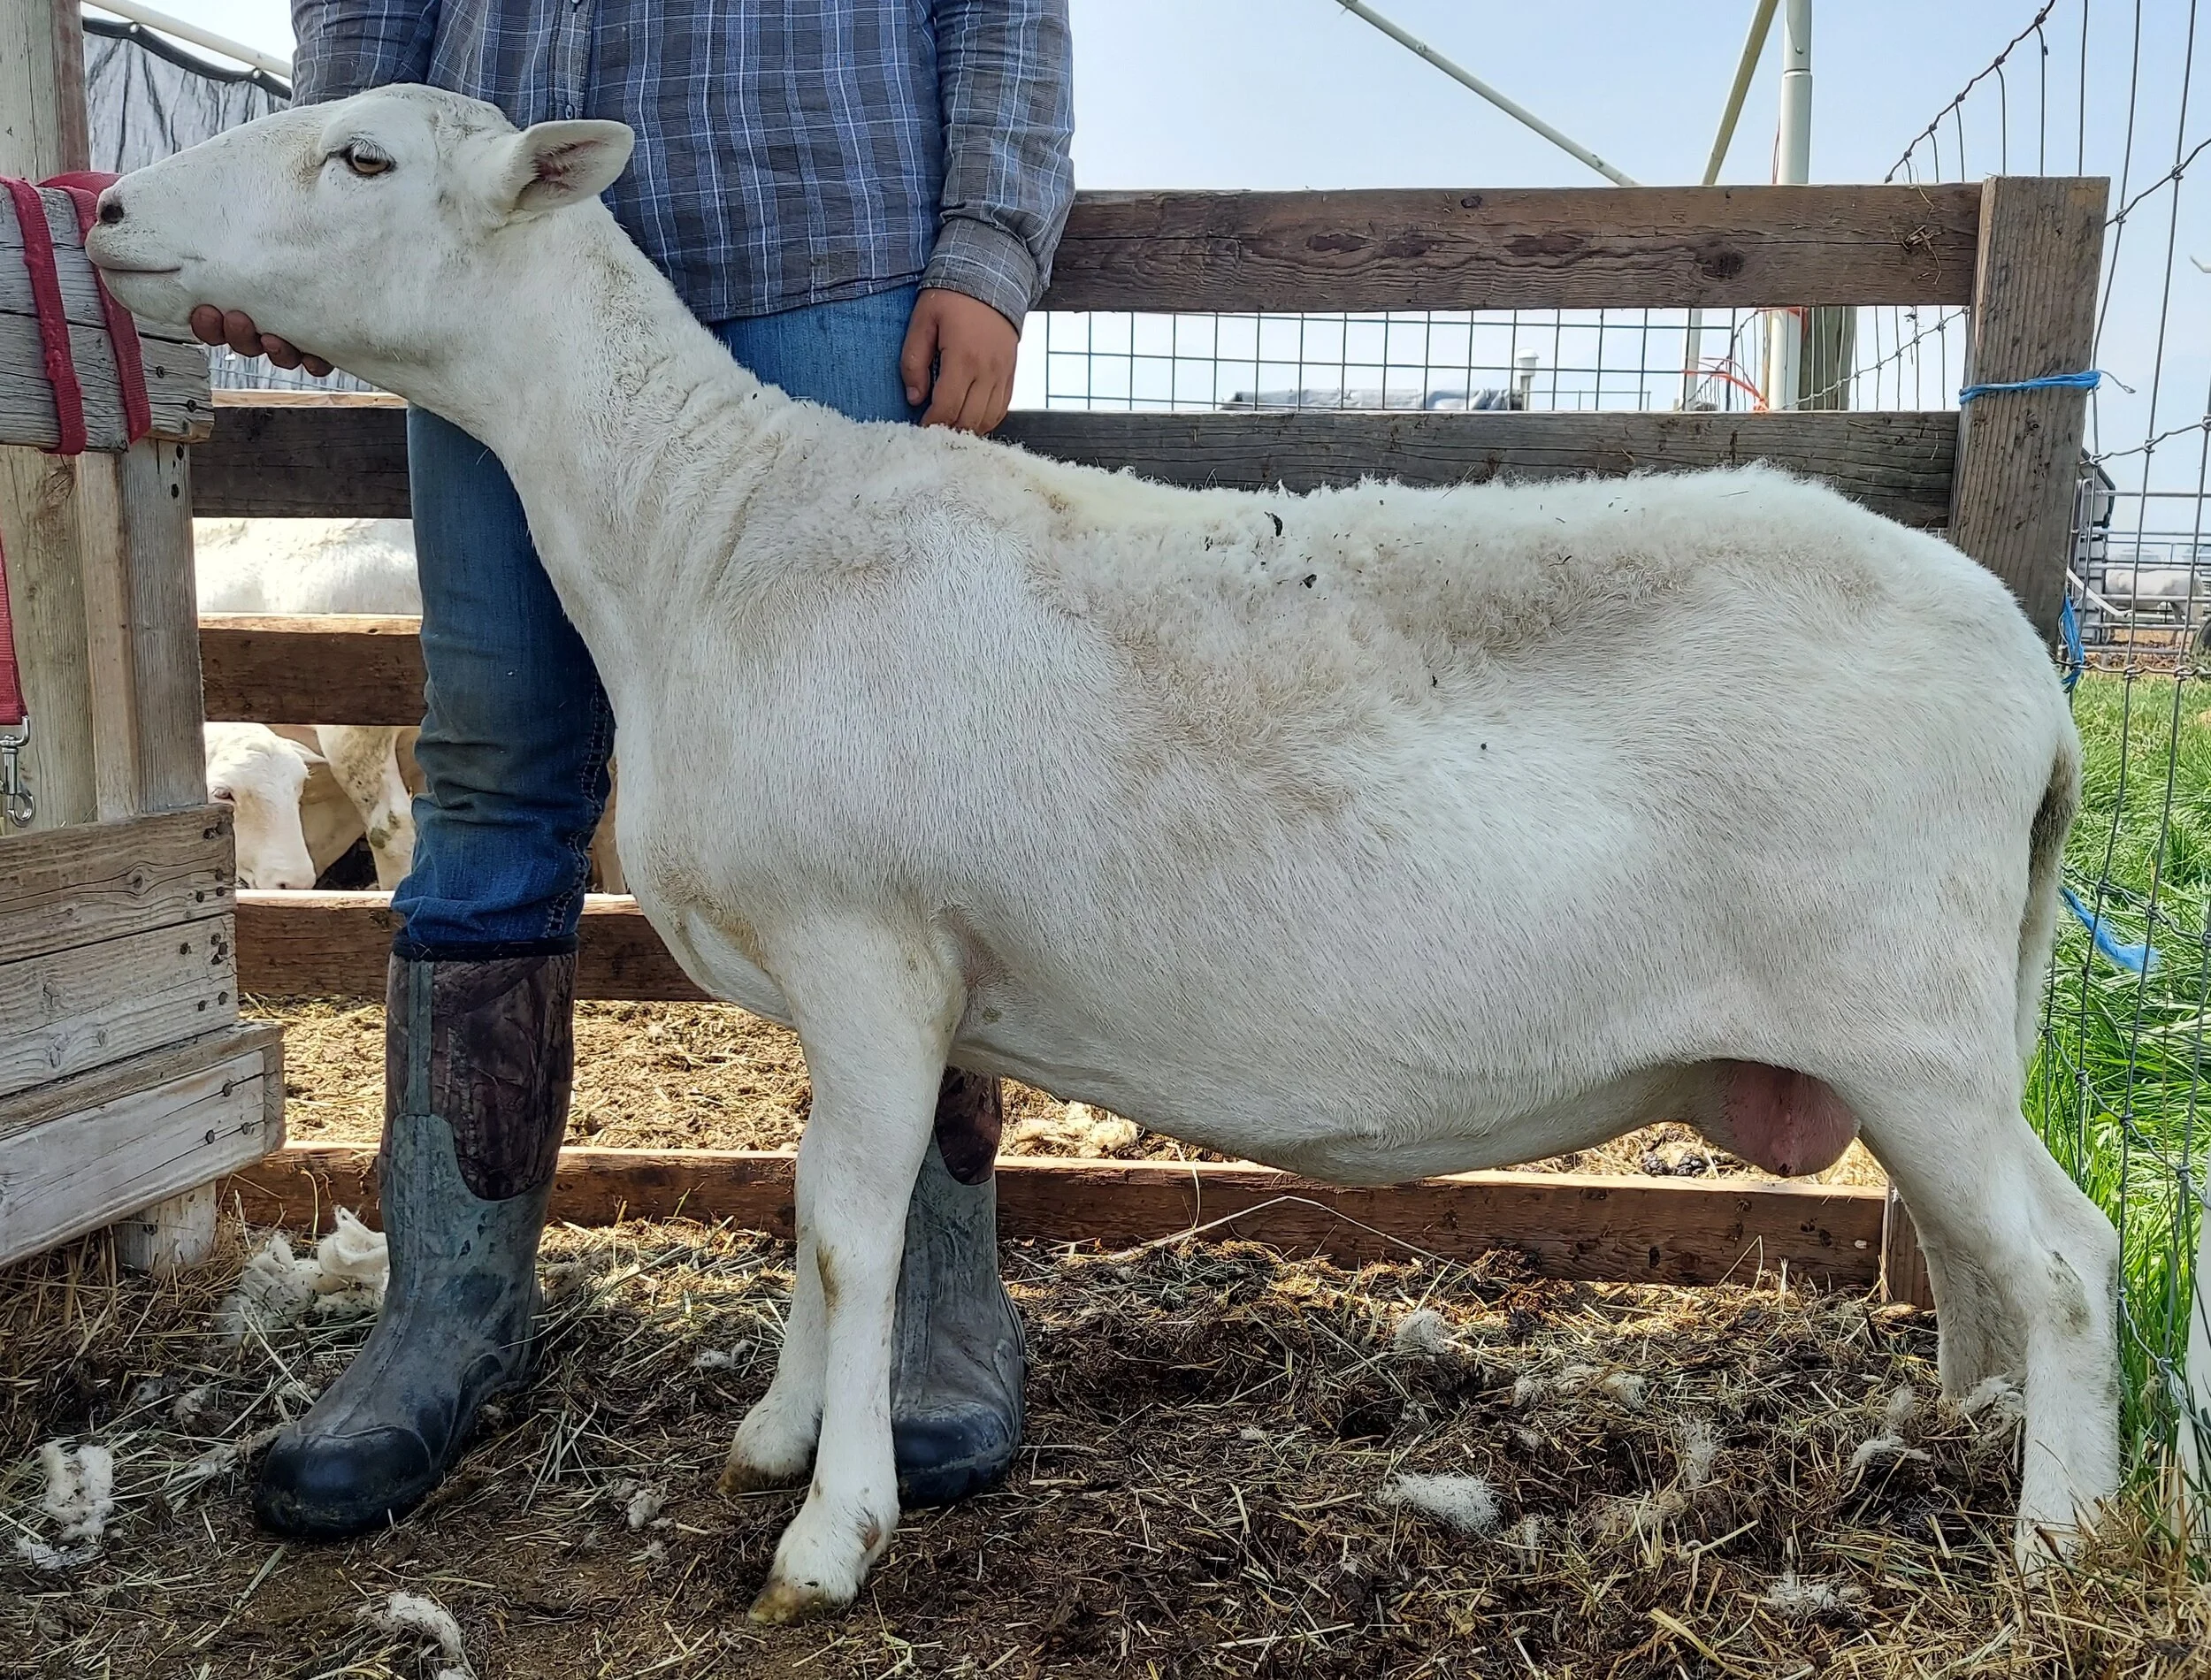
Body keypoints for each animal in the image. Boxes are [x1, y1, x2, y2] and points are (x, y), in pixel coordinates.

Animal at [89, 86, 2120, 1618]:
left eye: (363, 160)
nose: (103, 206)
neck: (701, 533)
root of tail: (2031, 679)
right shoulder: (863, 979)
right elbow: (820, 1217)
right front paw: (777, 1438)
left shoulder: (868, 946)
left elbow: (849, 1232)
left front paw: (826, 1535)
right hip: (1915, 1028)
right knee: (1987, 1255)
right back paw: (1983, 1448)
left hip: (1906, 1011)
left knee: (2066, 1256)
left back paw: (2058, 1541)